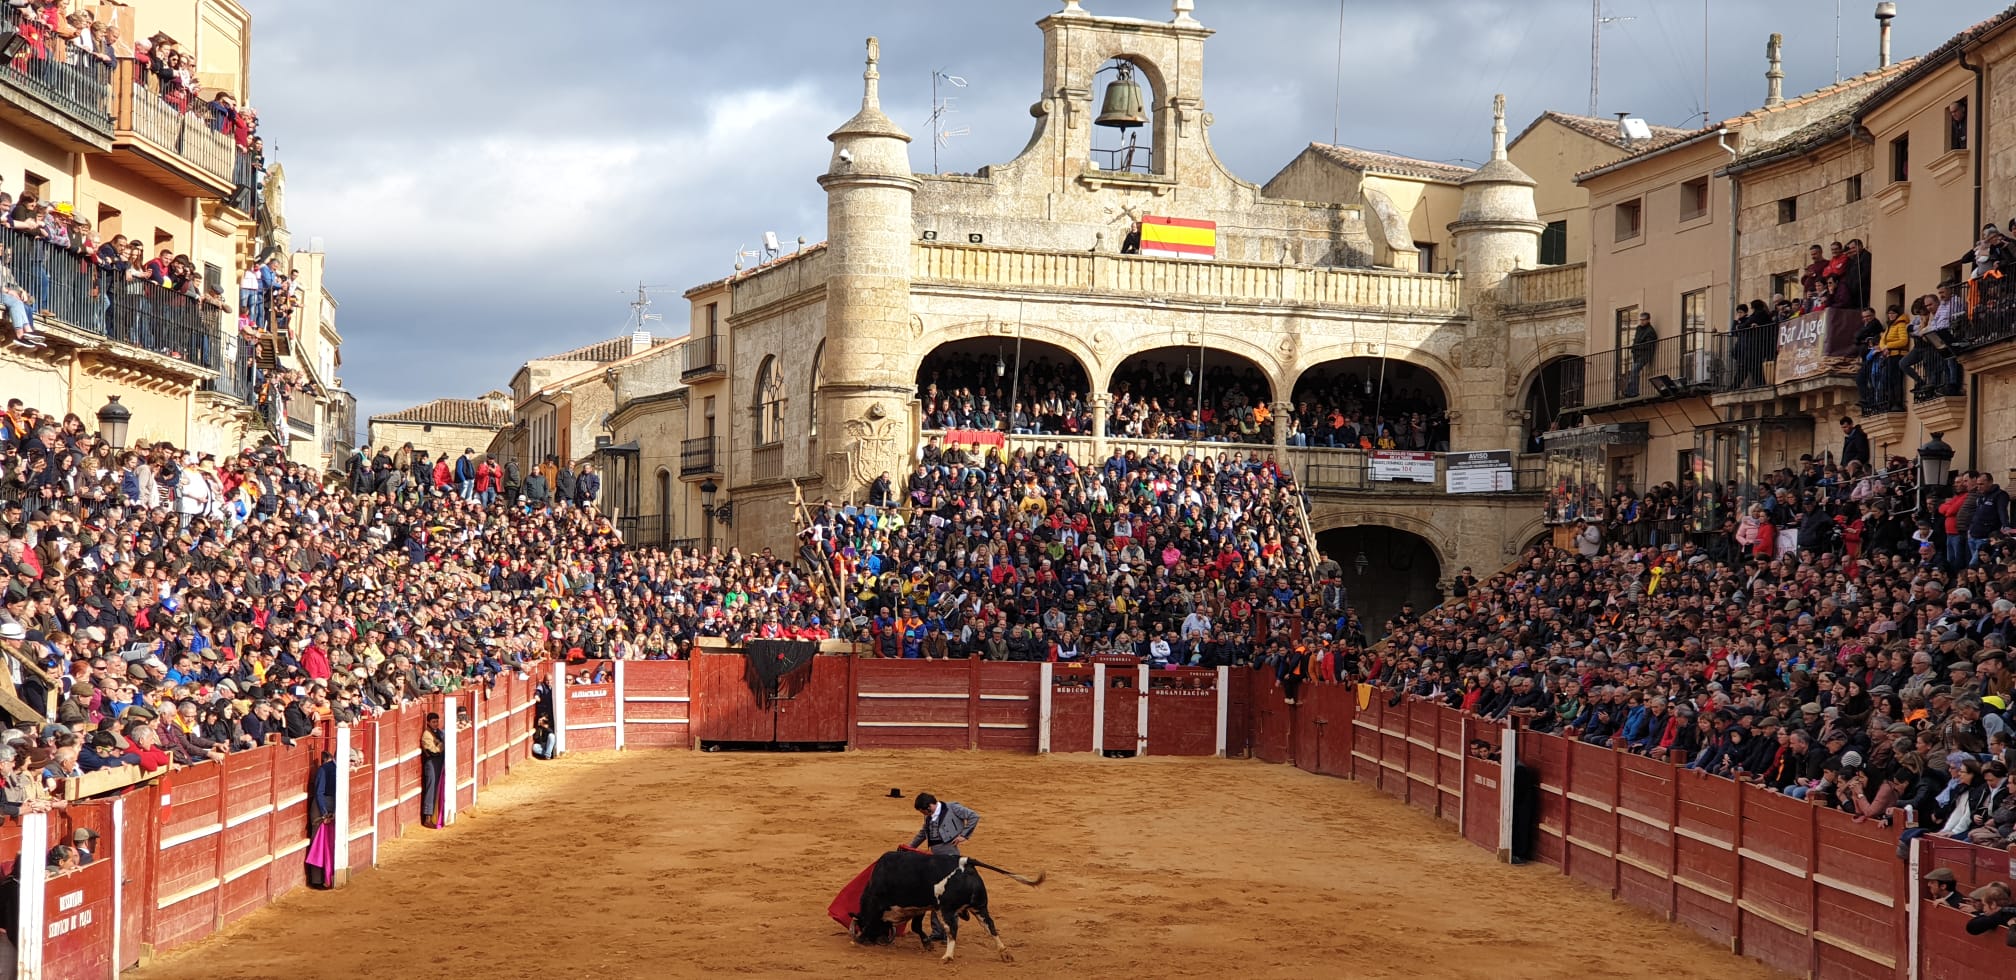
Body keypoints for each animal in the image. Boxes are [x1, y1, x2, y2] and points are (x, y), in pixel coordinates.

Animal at [850, 846, 1048, 959]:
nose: (879, 941)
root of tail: (965, 862)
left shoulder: (876, 904)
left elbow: (870, 922)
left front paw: (859, 939)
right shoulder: (920, 907)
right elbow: (916, 926)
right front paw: (927, 944)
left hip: (946, 909)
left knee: (952, 929)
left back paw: (947, 957)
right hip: (980, 907)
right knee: (990, 926)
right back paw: (1005, 953)